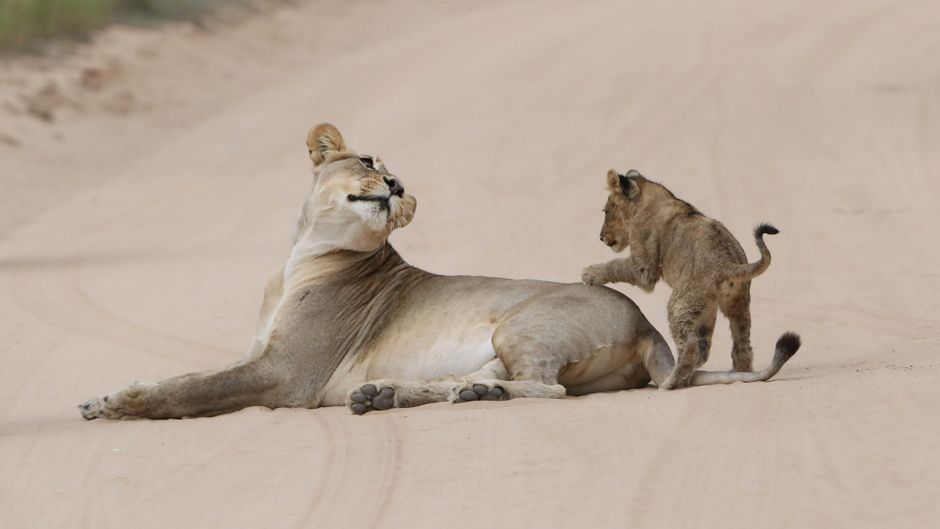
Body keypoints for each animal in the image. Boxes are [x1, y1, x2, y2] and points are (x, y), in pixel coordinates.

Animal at [581, 169, 794, 390]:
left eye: (606, 212)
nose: (601, 237)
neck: (647, 197)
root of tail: (727, 264)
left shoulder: (644, 268)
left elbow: (616, 265)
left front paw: (590, 274)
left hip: (680, 303)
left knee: (690, 347)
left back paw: (671, 382)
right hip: (732, 305)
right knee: (738, 345)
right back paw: (738, 374)